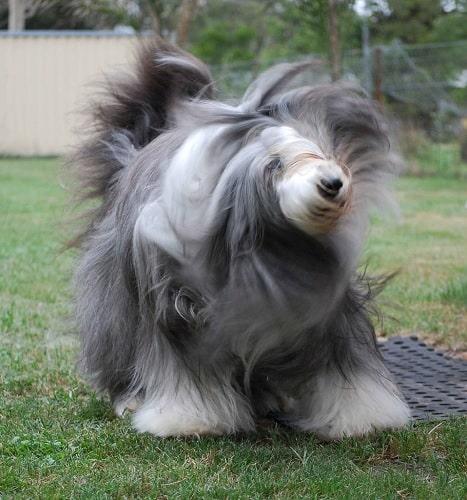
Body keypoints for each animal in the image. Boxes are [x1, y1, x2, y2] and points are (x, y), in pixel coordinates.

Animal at [68, 39, 410, 440]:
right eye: (275, 164)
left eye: (321, 151)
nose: (332, 182)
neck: (268, 245)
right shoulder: (180, 310)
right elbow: (188, 368)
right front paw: (189, 420)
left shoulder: (328, 307)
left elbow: (344, 362)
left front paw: (363, 415)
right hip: (118, 304)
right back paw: (131, 398)